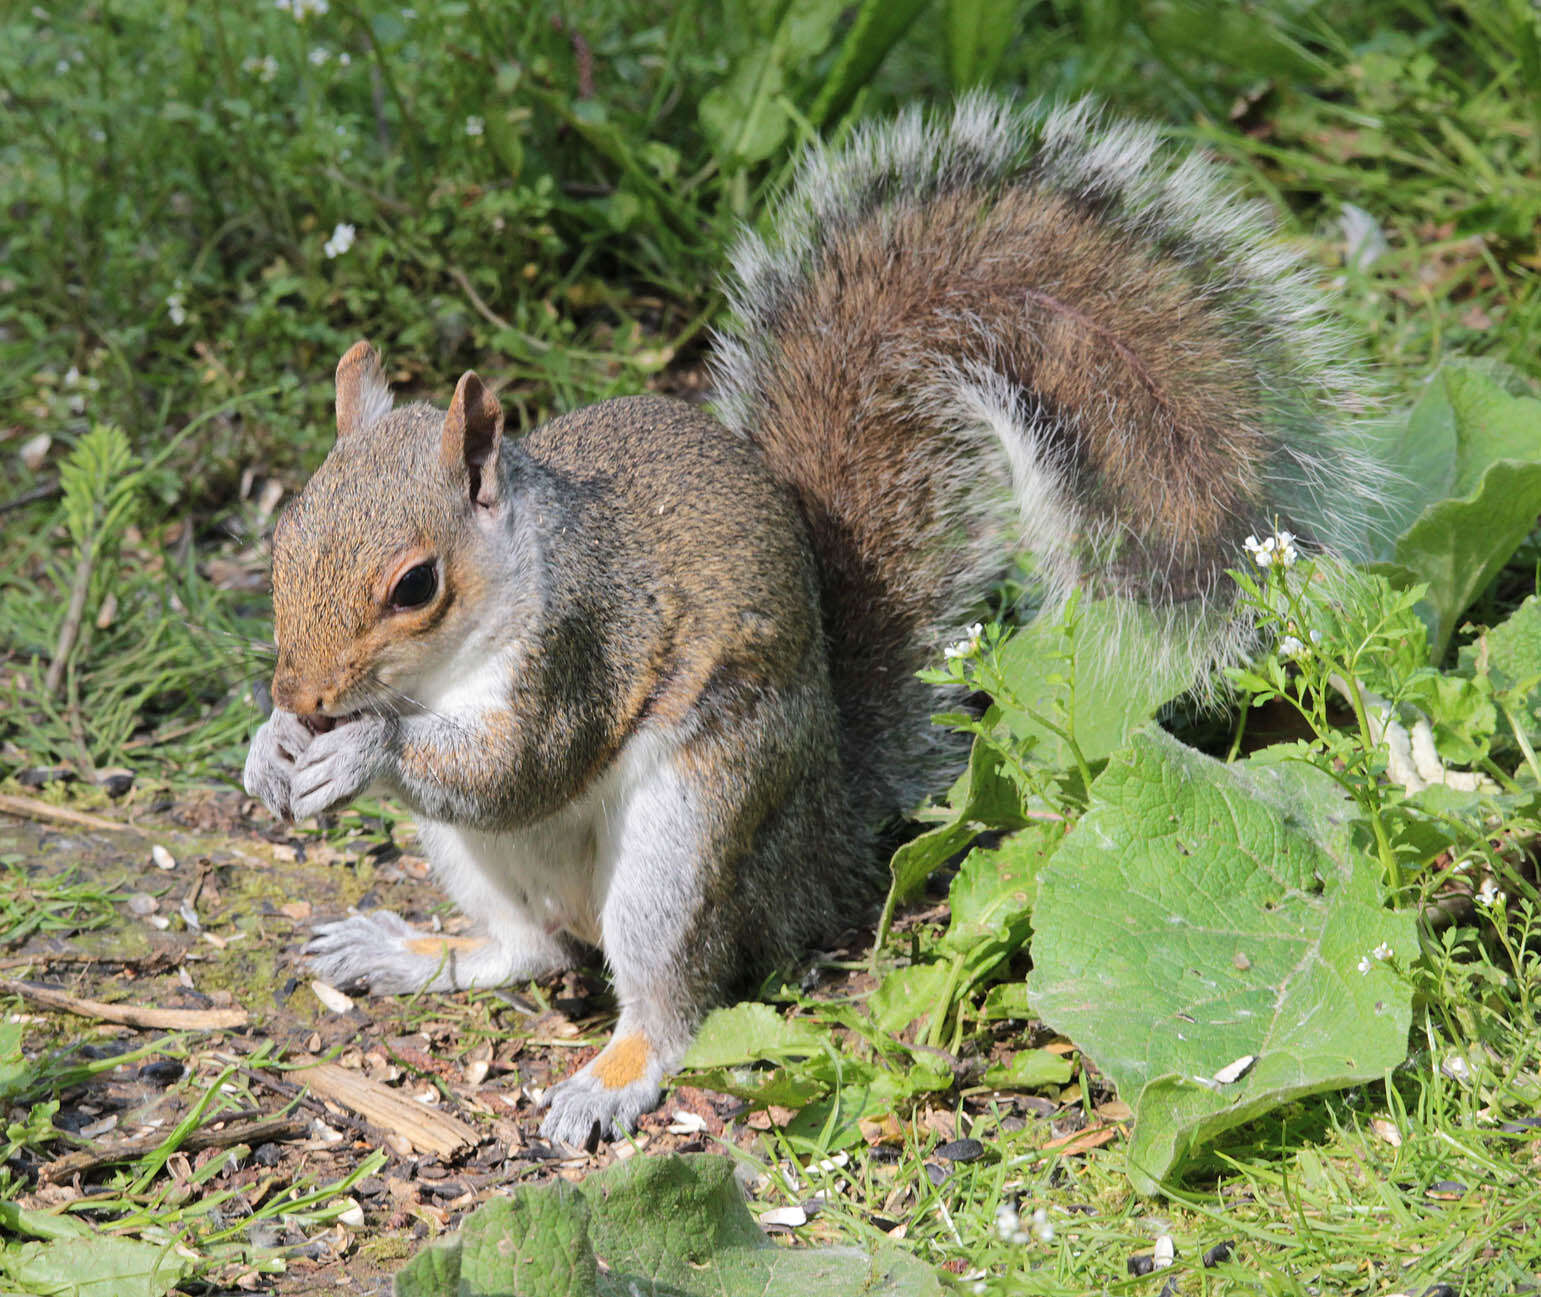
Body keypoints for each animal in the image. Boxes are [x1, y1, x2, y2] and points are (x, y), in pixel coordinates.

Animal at [243, 98, 1399, 1139]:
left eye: (414, 585)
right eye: (283, 536)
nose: (298, 691)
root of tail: (824, 841)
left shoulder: (581, 641)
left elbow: (517, 765)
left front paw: (360, 750)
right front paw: (270, 750)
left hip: (690, 832)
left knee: (666, 991)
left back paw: (612, 1076)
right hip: (472, 861)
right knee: (531, 947)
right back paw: (401, 950)